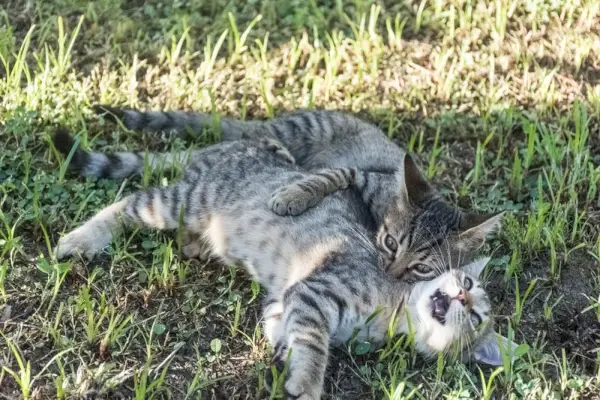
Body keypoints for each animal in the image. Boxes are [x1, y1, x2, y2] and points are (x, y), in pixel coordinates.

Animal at [59, 106, 502, 282]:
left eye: (422, 268)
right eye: (392, 242)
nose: (391, 273)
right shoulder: (357, 172)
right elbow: (328, 177)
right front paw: (292, 197)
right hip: (288, 136)